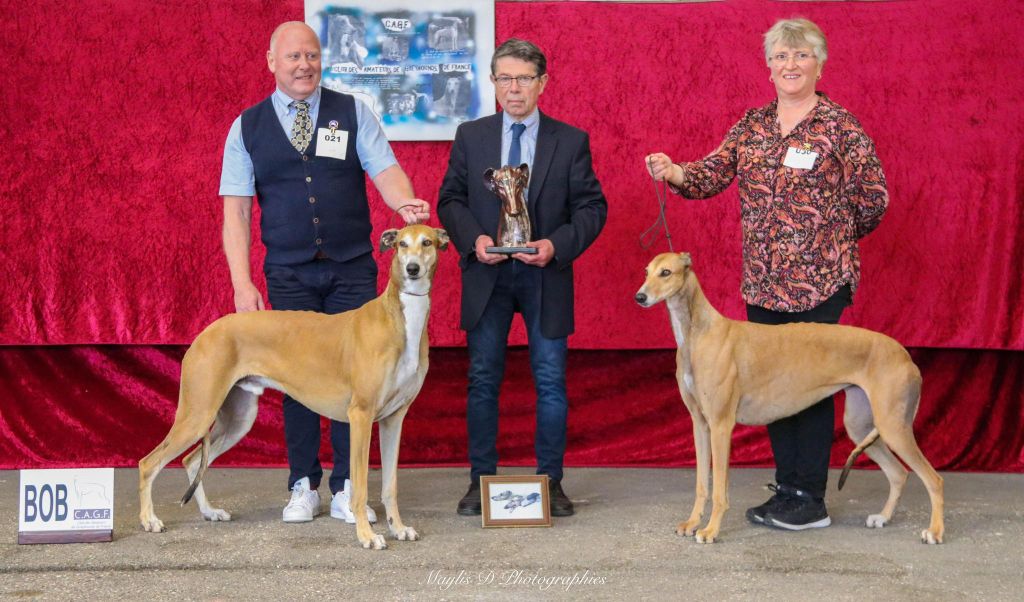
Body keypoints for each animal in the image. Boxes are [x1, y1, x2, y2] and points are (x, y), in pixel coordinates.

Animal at [139, 223, 448, 548]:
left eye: (427, 242)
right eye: (401, 244)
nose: (412, 269)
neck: (398, 319)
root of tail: (205, 332)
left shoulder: (393, 419)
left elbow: (390, 486)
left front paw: (398, 528)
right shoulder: (361, 415)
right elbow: (361, 487)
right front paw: (367, 536)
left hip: (237, 419)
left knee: (191, 459)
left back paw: (210, 512)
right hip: (198, 413)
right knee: (149, 463)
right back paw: (150, 520)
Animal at [634, 251, 946, 544]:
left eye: (666, 272)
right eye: (647, 271)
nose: (640, 297)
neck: (698, 332)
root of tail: (904, 355)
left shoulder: (721, 425)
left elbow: (720, 488)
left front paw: (710, 530)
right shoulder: (700, 423)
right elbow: (702, 484)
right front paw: (691, 523)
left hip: (893, 426)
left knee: (934, 479)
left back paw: (934, 531)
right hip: (862, 425)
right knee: (898, 473)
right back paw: (882, 517)